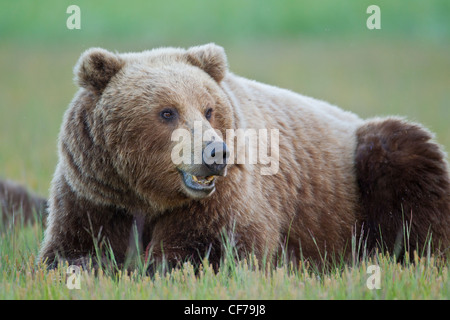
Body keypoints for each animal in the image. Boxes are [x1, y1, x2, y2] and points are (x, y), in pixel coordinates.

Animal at [37, 42, 450, 268]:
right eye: (167, 112)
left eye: (208, 109)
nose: (216, 152)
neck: (150, 196)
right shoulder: (96, 193)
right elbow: (73, 250)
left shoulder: (226, 198)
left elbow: (213, 250)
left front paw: (161, 265)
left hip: (361, 169)